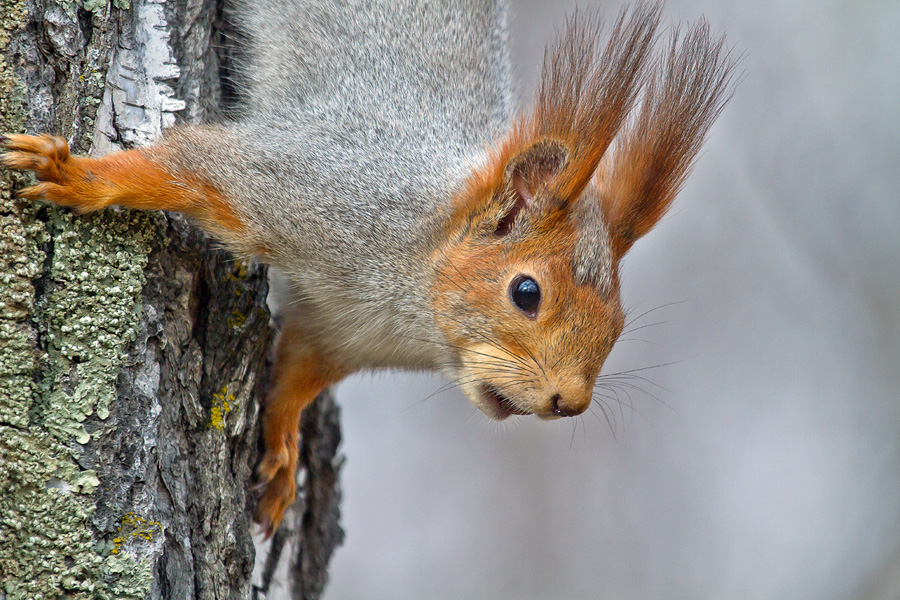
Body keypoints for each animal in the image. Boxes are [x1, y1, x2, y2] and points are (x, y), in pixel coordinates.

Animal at [1, 0, 740, 536]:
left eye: (618, 325)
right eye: (526, 291)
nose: (570, 401)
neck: (411, 298)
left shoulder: (337, 335)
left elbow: (295, 374)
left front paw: (282, 457)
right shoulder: (307, 183)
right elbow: (188, 164)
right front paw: (81, 175)